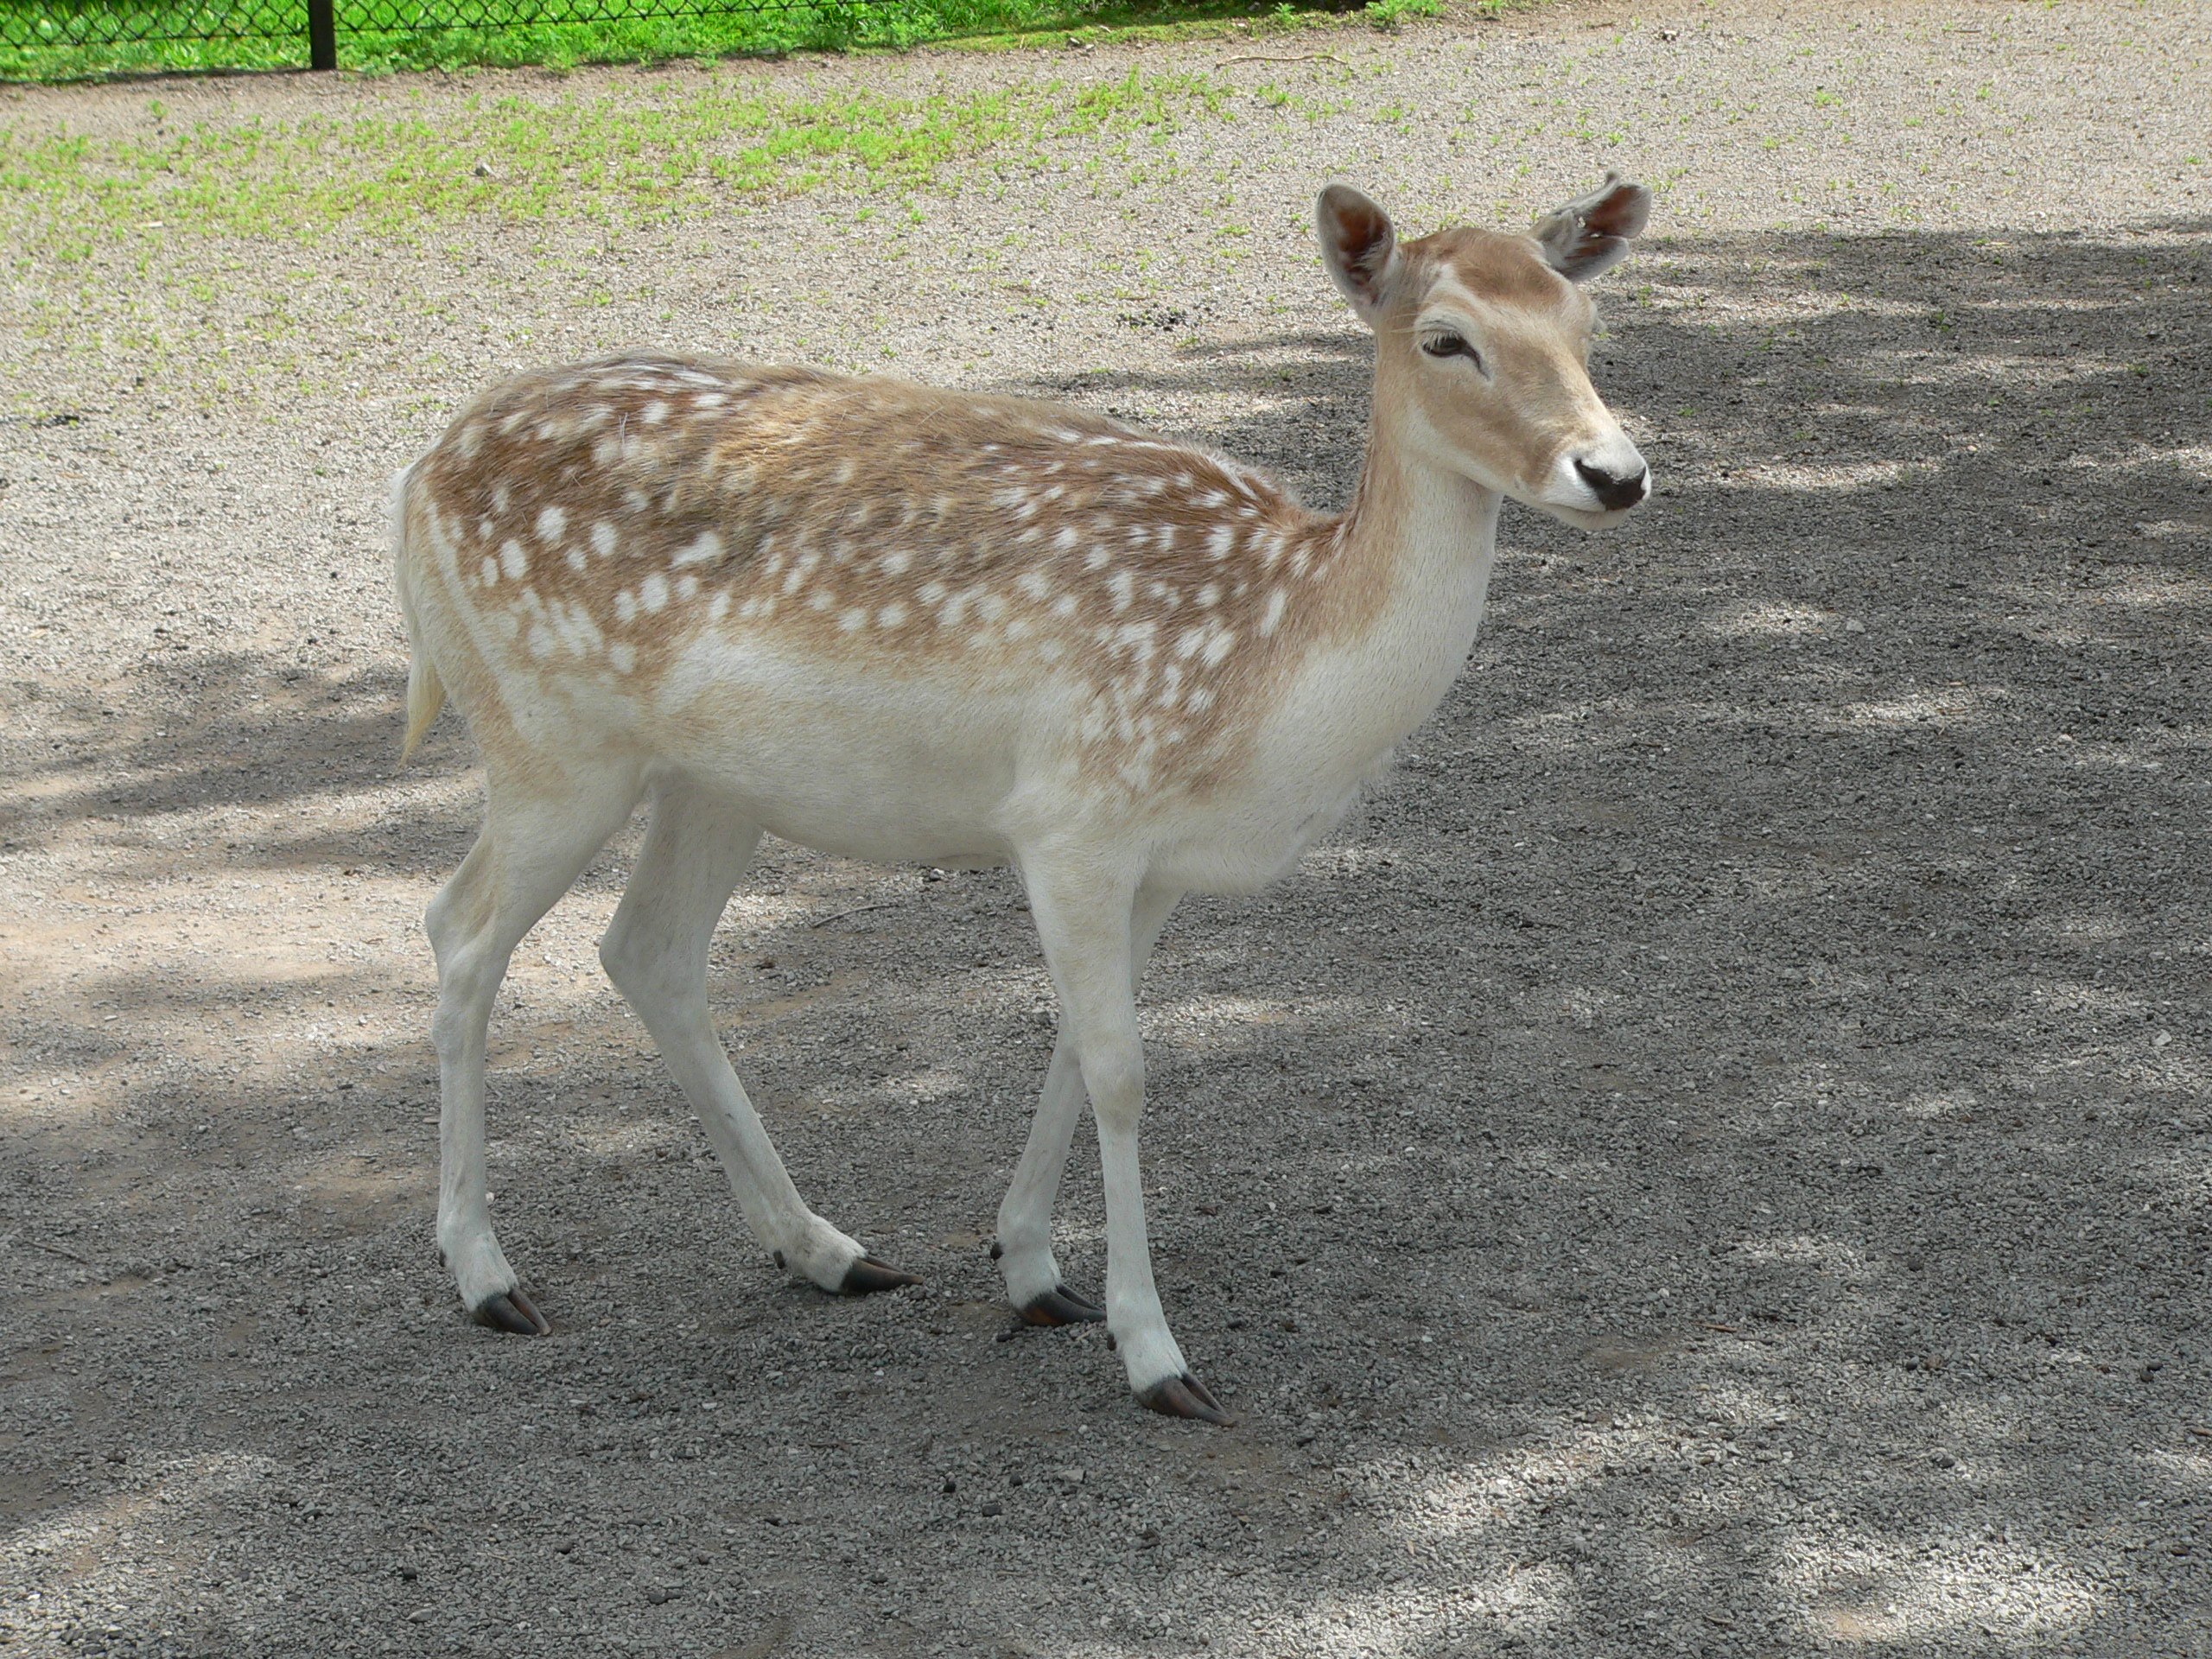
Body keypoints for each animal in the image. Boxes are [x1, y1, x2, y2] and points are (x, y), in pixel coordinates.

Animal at [389, 181, 1654, 1433]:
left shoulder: (1153, 863)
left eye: (1586, 325)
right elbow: (1122, 1070)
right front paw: (1155, 1354)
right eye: (1446, 340)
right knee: (460, 932)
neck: (1266, 679)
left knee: (645, 950)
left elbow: (1074, 1052)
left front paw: (1036, 1272)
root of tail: (421, 476)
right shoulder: (1072, 818)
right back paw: (487, 1276)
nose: (1616, 473)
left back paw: (825, 1251)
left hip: (712, 781)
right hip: (550, 742)